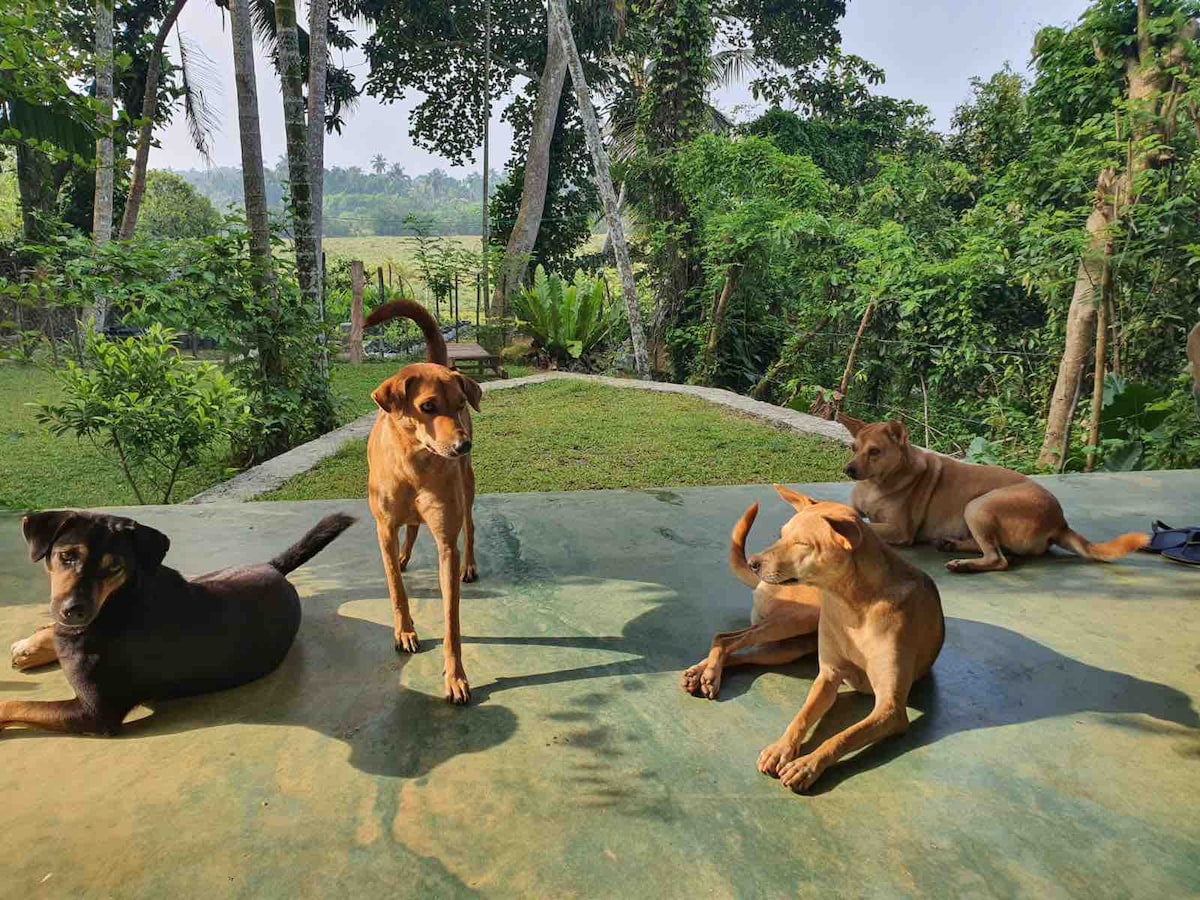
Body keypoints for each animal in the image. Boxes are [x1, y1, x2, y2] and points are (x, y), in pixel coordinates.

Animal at [4, 511, 352, 734]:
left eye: (114, 567)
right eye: (67, 556)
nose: (74, 611)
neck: (118, 603)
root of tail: (275, 568)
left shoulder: (95, 713)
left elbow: (15, 704)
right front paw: (35, 645)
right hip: (206, 576)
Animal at [364, 301, 482, 705]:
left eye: (460, 405)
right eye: (427, 406)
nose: (463, 445)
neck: (415, 463)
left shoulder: (446, 542)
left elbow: (451, 620)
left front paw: (456, 677)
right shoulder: (383, 530)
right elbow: (396, 589)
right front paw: (404, 631)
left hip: (467, 485)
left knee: (469, 526)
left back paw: (470, 565)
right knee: (411, 527)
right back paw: (403, 556)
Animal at [748, 489, 945, 792]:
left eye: (802, 544)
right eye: (781, 535)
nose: (753, 562)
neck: (853, 606)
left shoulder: (891, 708)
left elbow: (841, 737)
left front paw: (807, 765)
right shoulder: (828, 677)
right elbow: (801, 717)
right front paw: (781, 747)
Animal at [840, 415, 1147, 573]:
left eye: (875, 451)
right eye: (853, 448)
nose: (848, 470)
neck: (876, 484)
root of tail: (1060, 522)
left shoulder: (899, 529)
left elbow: (869, 525)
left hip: (978, 505)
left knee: (999, 559)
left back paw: (963, 563)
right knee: (1000, 551)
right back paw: (952, 544)